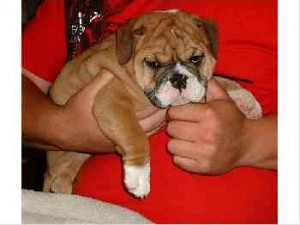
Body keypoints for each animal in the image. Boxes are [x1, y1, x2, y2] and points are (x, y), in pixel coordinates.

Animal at [43, 10, 262, 197]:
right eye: (153, 64)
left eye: (196, 58)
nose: (178, 79)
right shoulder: (111, 100)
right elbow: (134, 134)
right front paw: (138, 175)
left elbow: (217, 80)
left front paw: (245, 98)